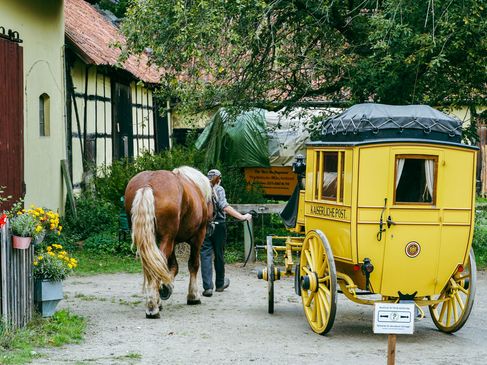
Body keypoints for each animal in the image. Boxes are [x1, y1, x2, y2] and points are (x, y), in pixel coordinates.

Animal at [124, 166, 212, 318]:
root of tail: (148, 184)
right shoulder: (197, 237)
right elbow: (193, 265)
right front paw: (192, 296)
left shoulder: (172, 240)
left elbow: (172, 267)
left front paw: (163, 290)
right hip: (168, 239)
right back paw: (152, 307)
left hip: (153, 240)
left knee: (152, 265)